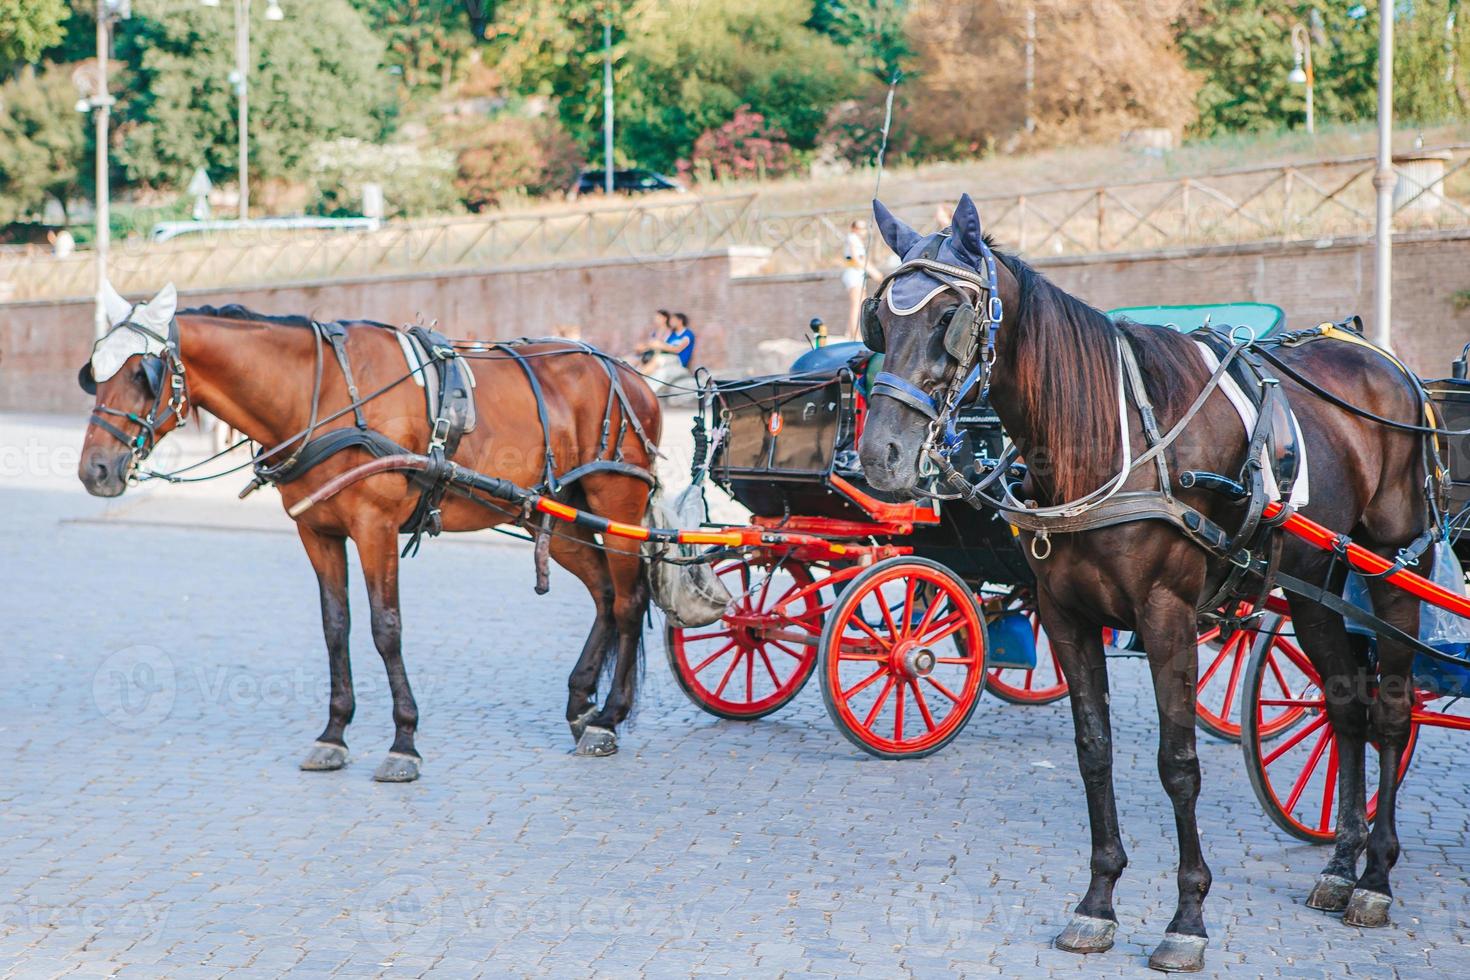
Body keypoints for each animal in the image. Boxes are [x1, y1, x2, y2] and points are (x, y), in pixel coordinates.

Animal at [74, 283, 661, 781]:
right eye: (94, 376)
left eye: (141, 376)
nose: (94, 471)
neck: (325, 396)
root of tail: (631, 377)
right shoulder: (317, 531)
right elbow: (336, 627)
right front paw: (333, 734)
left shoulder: (375, 527)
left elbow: (385, 628)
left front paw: (404, 742)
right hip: (561, 519)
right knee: (605, 595)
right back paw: (581, 704)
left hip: (618, 504)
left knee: (630, 599)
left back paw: (607, 718)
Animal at [858, 196, 1434, 975]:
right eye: (879, 322)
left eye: (951, 316)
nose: (879, 456)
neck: (1107, 436)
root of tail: (1381, 357)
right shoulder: (1065, 616)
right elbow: (1093, 751)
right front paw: (1098, 902)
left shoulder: (1167, 617)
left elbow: (1178, 763)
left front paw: (1187, 917)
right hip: (1313, 583)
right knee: (1344, 704)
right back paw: (1341, 866)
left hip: (1394, 567)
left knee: (1391, 713)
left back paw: (1374, 877)